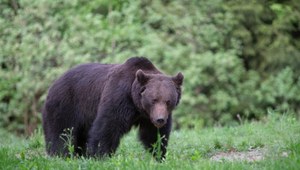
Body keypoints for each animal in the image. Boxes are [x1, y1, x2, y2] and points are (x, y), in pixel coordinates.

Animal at [41, 56, 183, 160]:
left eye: (168, 101)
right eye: (153, 100)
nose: (160, 119)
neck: (137, 105)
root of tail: (54, 82)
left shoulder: (147, 117)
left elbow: (154, 135)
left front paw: (158, 155)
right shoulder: (119, 97)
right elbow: (108, 126)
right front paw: (100, 155)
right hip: (66, 104)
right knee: (62, 132)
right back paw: (60, 154)